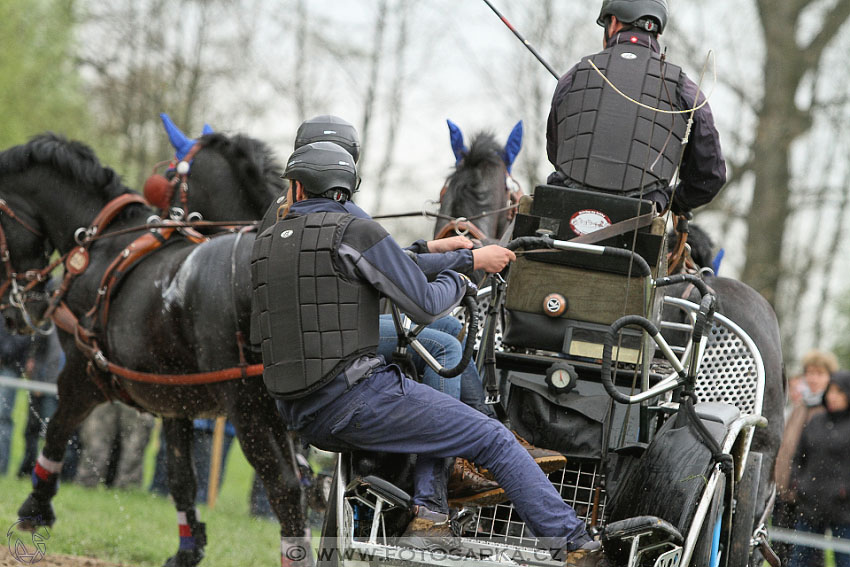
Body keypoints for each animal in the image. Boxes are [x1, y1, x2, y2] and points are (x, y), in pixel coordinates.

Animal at [0, 134, 310, 567]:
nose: (19, 312)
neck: (102, 244)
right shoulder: (174, 400)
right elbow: (182, 479)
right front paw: (187, 548)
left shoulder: (82, 373)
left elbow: (57, 429)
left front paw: (36, 507)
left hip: (249, 408)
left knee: (284, 488)